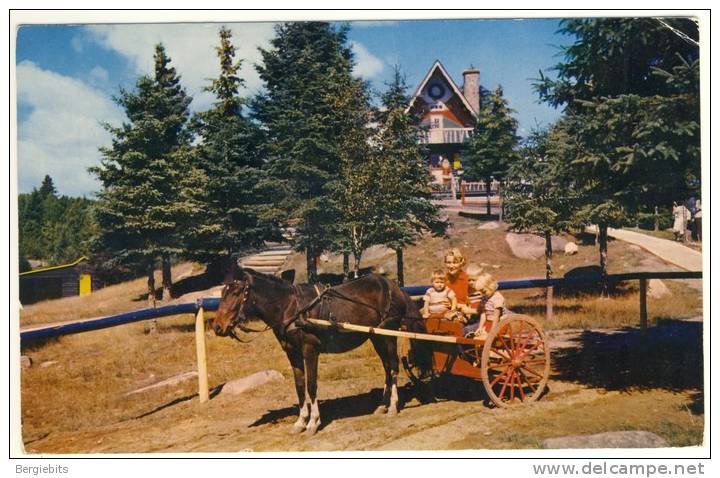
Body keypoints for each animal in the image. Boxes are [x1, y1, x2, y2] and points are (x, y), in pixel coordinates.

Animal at [211, 268, 422, 436]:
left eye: (236, 292)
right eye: (223, 292)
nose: (218, 327)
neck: (291, 308)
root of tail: (393, 286)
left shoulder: (310, 350)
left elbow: (311, 386)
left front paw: (313, 423)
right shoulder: (292, 353)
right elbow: (299, 387)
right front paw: (300, 422)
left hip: (389, 334)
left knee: (393, 366)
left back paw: (393, 406)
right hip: (376, 336)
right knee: (387, 367)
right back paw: (382, 406)